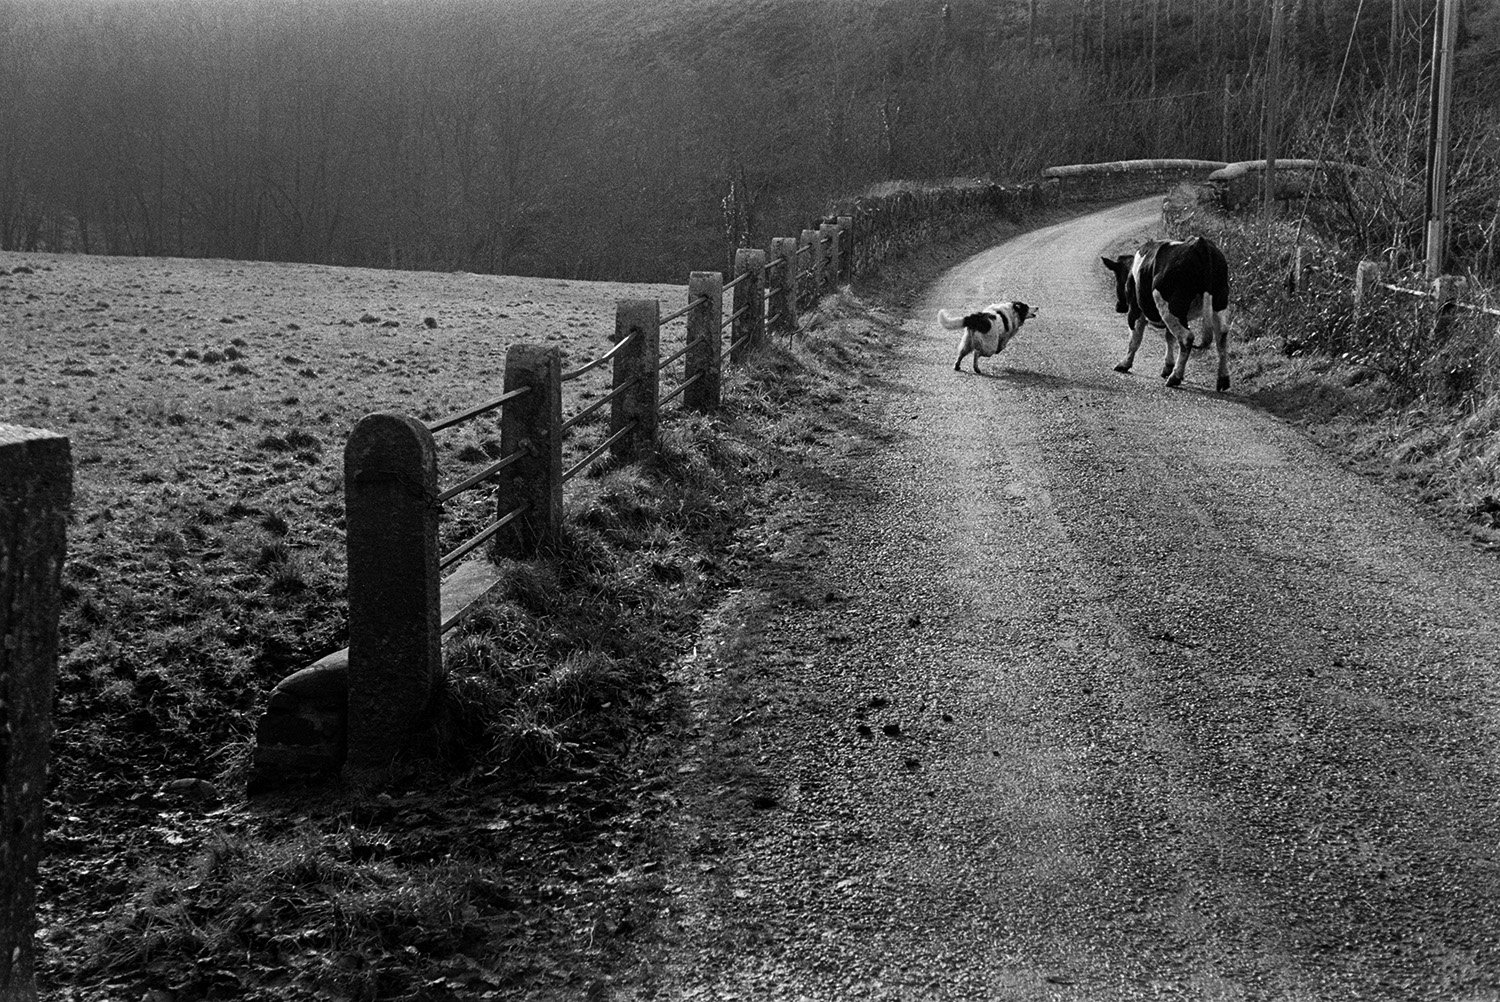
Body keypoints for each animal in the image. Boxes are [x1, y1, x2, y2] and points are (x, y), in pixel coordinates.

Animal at [1104, 235, 1230, 390]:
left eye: (1117, 277)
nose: (1118, 306)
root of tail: (1199, 243)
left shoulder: (1135, 309)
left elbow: (1135, 339)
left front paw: (1124, 364)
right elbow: (1169, 338)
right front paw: (1167, 367)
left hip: (1171, 307)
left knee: (1187, 338)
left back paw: (1175, 377)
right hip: (1219, 300)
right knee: (1221, 336)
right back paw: (1223, 379)